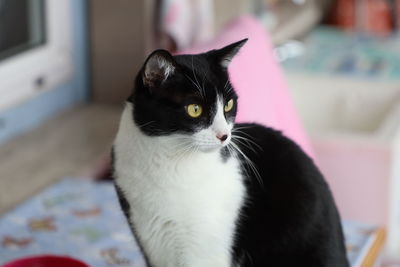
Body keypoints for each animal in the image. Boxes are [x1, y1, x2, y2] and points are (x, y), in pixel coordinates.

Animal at [113, 39, 350, 267]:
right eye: (195, 109)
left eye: (228, 105)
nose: (224, 135)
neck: (168, 162)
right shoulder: (149, 238)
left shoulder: (203, 249)